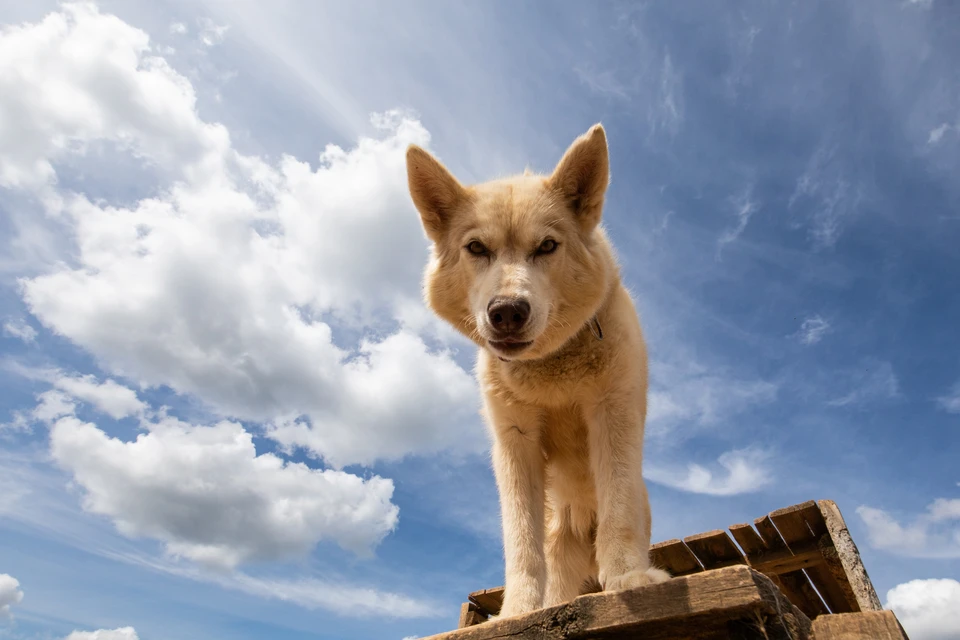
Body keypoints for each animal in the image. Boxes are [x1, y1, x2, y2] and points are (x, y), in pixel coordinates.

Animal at [404, 122, 668, 616]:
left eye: (546, 246)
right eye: (476, 248)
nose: (507, 311)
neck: (549, 367)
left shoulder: (613, 414)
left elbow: (619, 508)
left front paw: (629, 577)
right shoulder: (515, 442)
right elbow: (520, 541)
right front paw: (518, 612)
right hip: (558, 537)